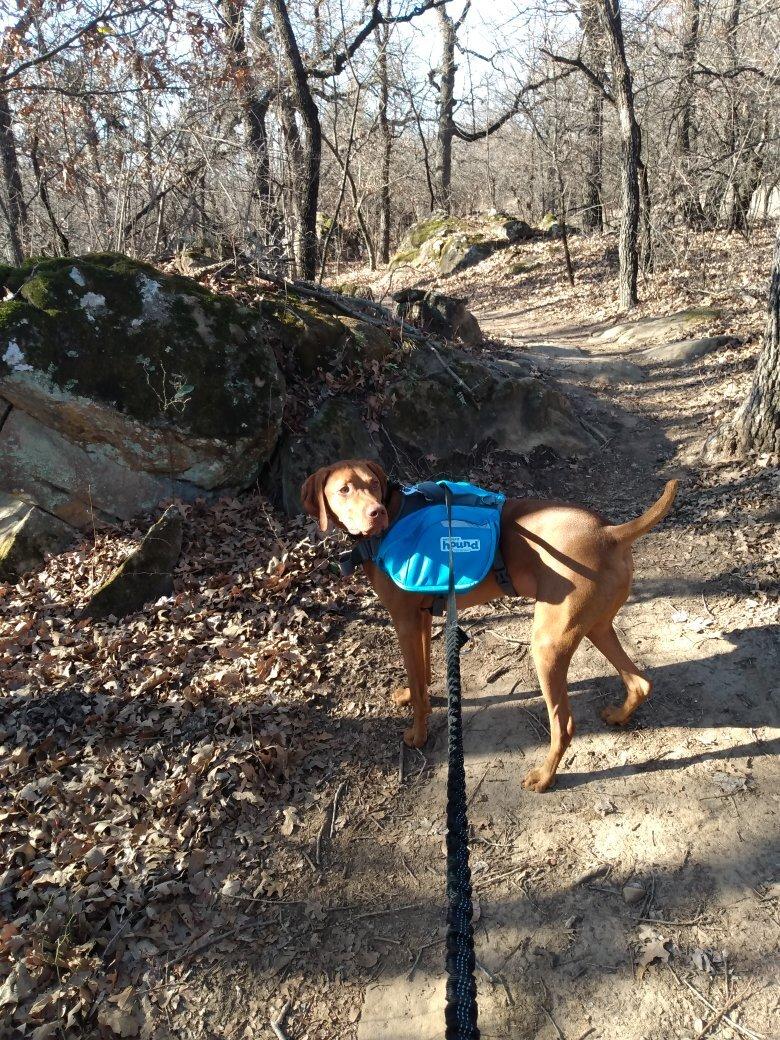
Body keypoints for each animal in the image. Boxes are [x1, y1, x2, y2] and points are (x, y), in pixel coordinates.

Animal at [301, 459, 678, 790]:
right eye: (344, 489)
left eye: (373, 484)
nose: (375, 513)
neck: (395, 516)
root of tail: (609, 531)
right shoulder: (420, 618)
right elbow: (421, 674)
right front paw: (412, 695)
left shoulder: (404, 621)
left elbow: (418, 682)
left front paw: (418, 735)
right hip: (596, 626)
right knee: (640, 682)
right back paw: (619, 716)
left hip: (548, 644)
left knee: (565, 725)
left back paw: (544, 778)